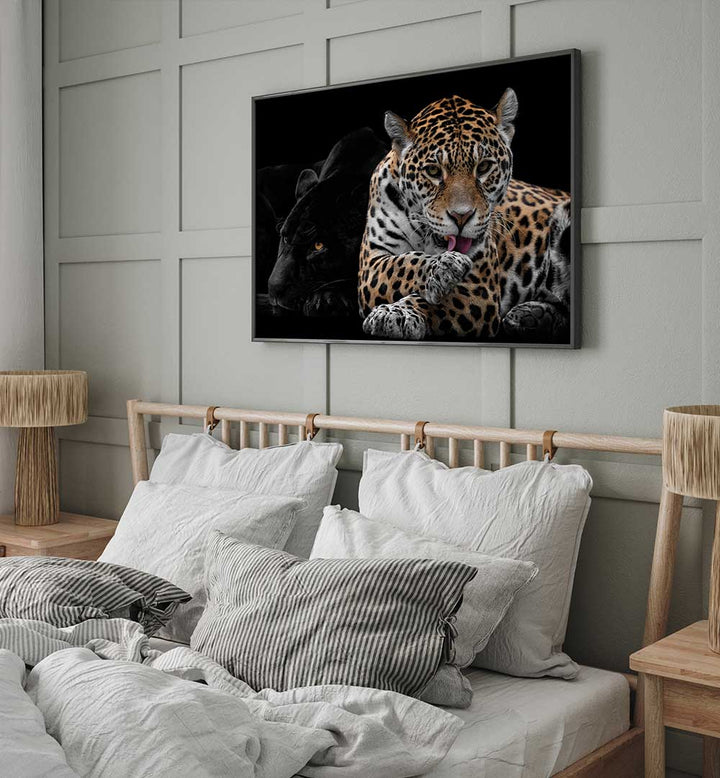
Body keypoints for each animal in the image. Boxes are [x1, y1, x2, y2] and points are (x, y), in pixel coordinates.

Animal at [357, 90, 571, 342]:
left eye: (484, 167)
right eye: (433, 171)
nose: (461, 216)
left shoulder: (480, 288)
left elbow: (433, 303)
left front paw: (398, 312)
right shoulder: (371, 261)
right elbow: (401, 264)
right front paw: (442, 268)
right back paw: (530, 316)